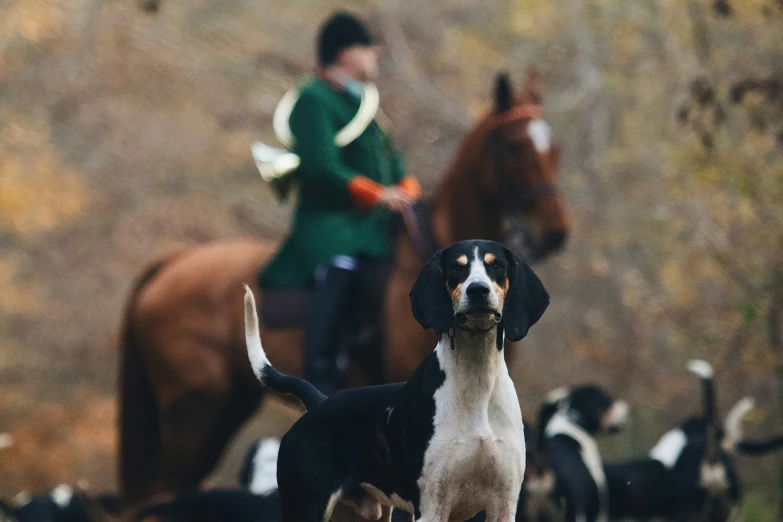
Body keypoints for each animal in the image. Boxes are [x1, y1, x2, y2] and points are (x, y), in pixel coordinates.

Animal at [242, 239, 548, 520]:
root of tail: (319, 402)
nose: (478, 290)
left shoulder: (503, 505)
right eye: (456, 268)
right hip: (306, 507)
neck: (476, 382)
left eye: (496, 266)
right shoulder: (430, 508)